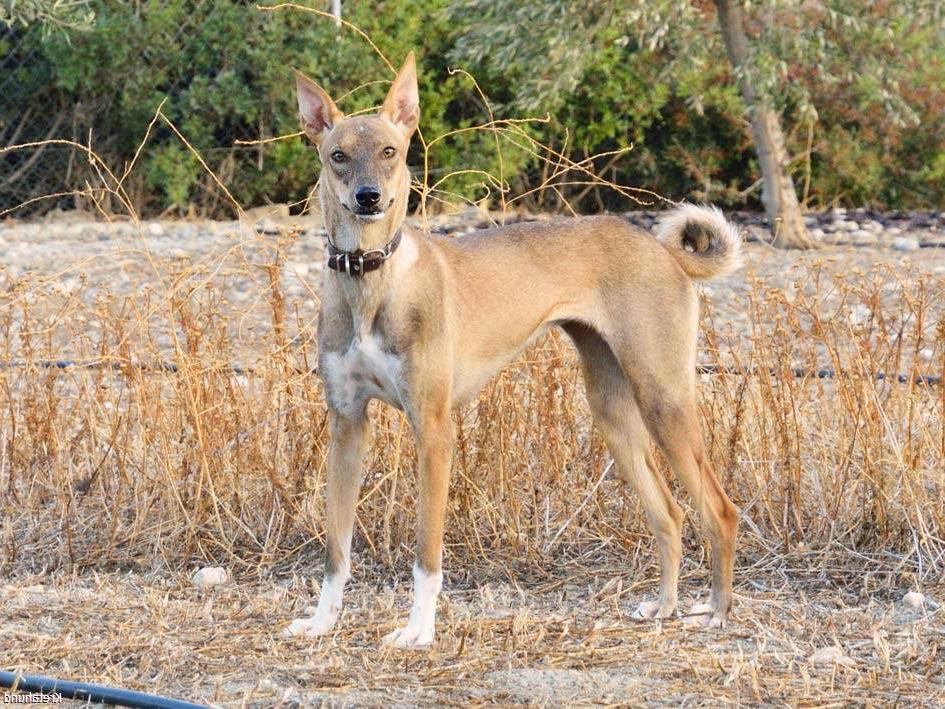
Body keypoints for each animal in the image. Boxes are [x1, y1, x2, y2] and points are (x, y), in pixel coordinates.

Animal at [284, 51, 740, 648]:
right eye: (337, 155)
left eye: (390, 152)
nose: (368, 199)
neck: (372, 279)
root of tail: (663, 250)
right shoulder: (347, 425)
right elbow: (336, 549)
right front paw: (322, 622)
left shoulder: (433, 431)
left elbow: (426, 554)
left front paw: (419, 631)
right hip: (613, 414)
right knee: (669, 515)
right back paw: (663, 607)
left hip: (664, 399)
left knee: (720, 511)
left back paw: (718, 612)